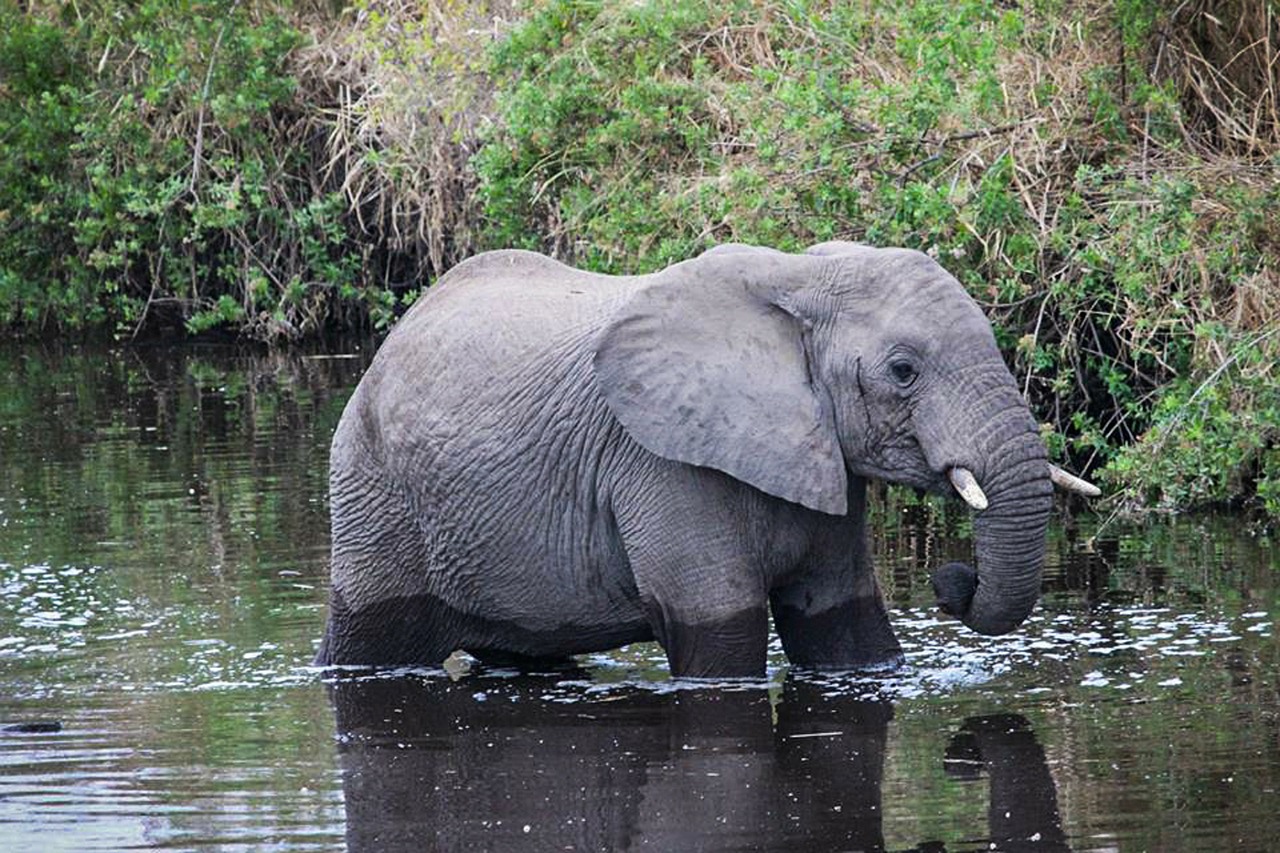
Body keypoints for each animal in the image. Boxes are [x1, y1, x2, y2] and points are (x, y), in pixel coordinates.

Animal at [314, 242, 1095, 676]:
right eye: (904, 371)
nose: (951, 580)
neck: (800, 280)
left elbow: (844, 630)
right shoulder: (661, 464)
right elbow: (722, 637)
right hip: (373, 490)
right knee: (366, 643)